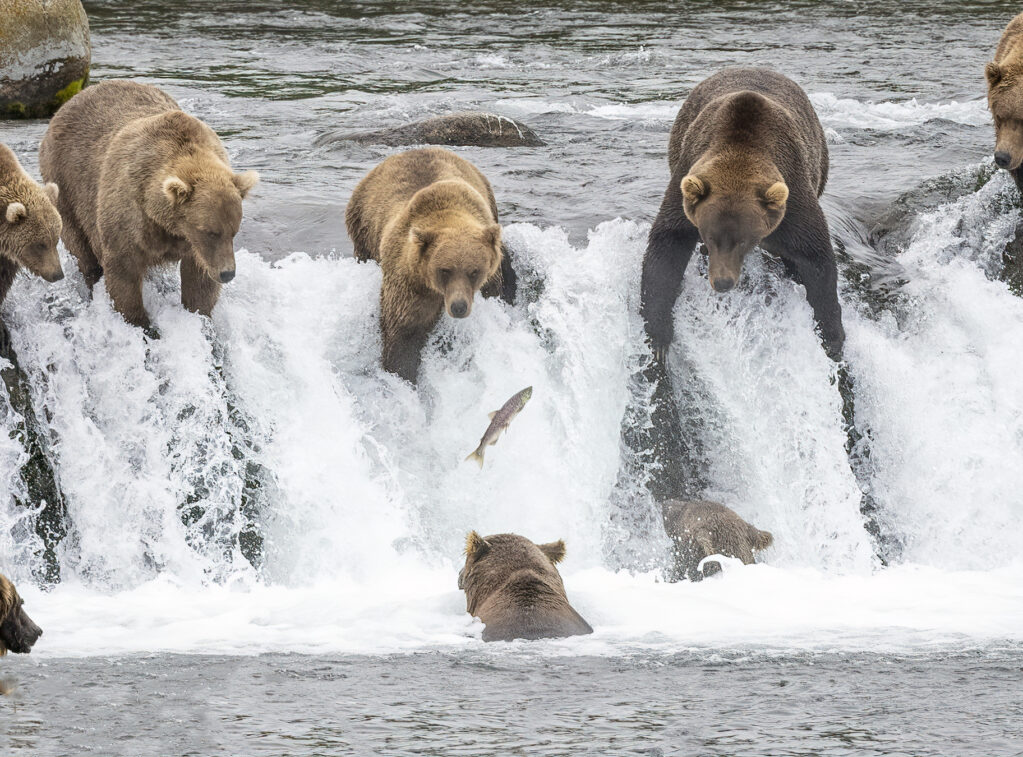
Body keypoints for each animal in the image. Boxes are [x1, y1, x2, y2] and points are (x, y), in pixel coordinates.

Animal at [39, 80, 258, 329]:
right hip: (65, 181)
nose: (227, 273)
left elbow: (199, 279)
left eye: (234, 231)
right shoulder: (130, 219)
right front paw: (141, 324)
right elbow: (123, 273)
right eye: (210, 232)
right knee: (81, 248)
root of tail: (67, 104)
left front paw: (200, 314)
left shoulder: (191, 244)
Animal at [345, 147, 517, 383]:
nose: (459, 306)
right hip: (363, 228)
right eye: (444, 270)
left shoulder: (489, 277)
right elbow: (404, 331)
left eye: (474, 271)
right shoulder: (410, 283)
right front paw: (401, 372)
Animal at [641, 67, 844, 362]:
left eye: (744, 241)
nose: (723, 282)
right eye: (709, 236)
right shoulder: (687, 177)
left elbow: (815, 256)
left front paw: (832, 337)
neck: (741, 150)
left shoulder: (793, 192)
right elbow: (667, 245)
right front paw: (659, 337)